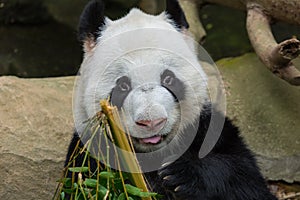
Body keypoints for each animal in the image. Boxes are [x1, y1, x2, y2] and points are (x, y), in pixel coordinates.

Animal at [65, 0, 276, 199]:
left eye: (168, 79)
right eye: (123, 85)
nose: (152, 122)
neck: (155, 154)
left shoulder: (209, 131)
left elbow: (245, 181)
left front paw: (179, 175)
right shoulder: (89, 153)